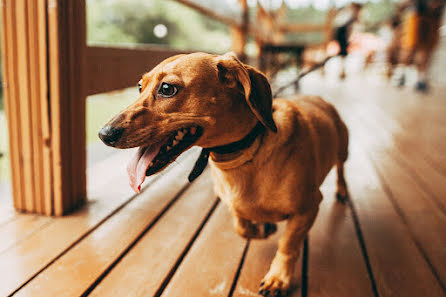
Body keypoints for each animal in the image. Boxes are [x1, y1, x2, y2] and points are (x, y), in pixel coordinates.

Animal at [100, 52, 348, 294]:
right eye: (140, 87)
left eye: (167, 88)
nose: (104, 134)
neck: (246, 153)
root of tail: (318, 98)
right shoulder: (232, 202)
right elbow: (241, 225)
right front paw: (262, 227)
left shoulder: (308, 208)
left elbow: (287, 246)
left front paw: (278, 278)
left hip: (343, 150)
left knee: (341, 170)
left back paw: (343, 191)